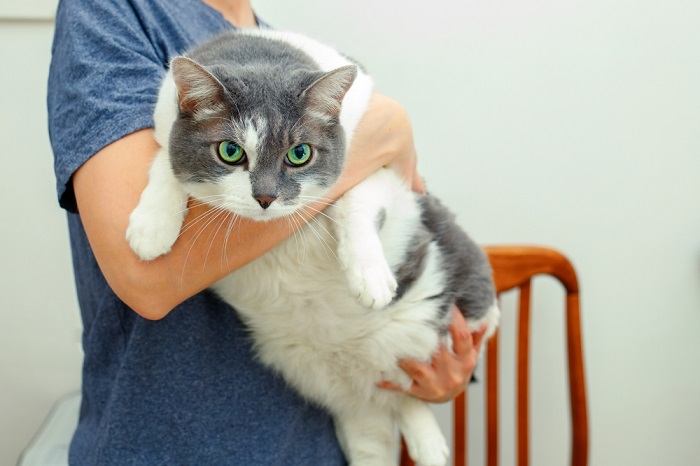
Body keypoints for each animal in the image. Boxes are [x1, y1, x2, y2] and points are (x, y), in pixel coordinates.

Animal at [126, 29, 498, 466]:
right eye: (230, 152)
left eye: (299, 154)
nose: (265, 197)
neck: (262, 56)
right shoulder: (164, 121)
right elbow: (163, 162)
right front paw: (152, 225)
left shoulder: (383, 163)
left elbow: (354, 200)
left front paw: (370, 277)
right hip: (354, 412)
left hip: (463, 307)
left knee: (410, 388)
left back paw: (429, 444)